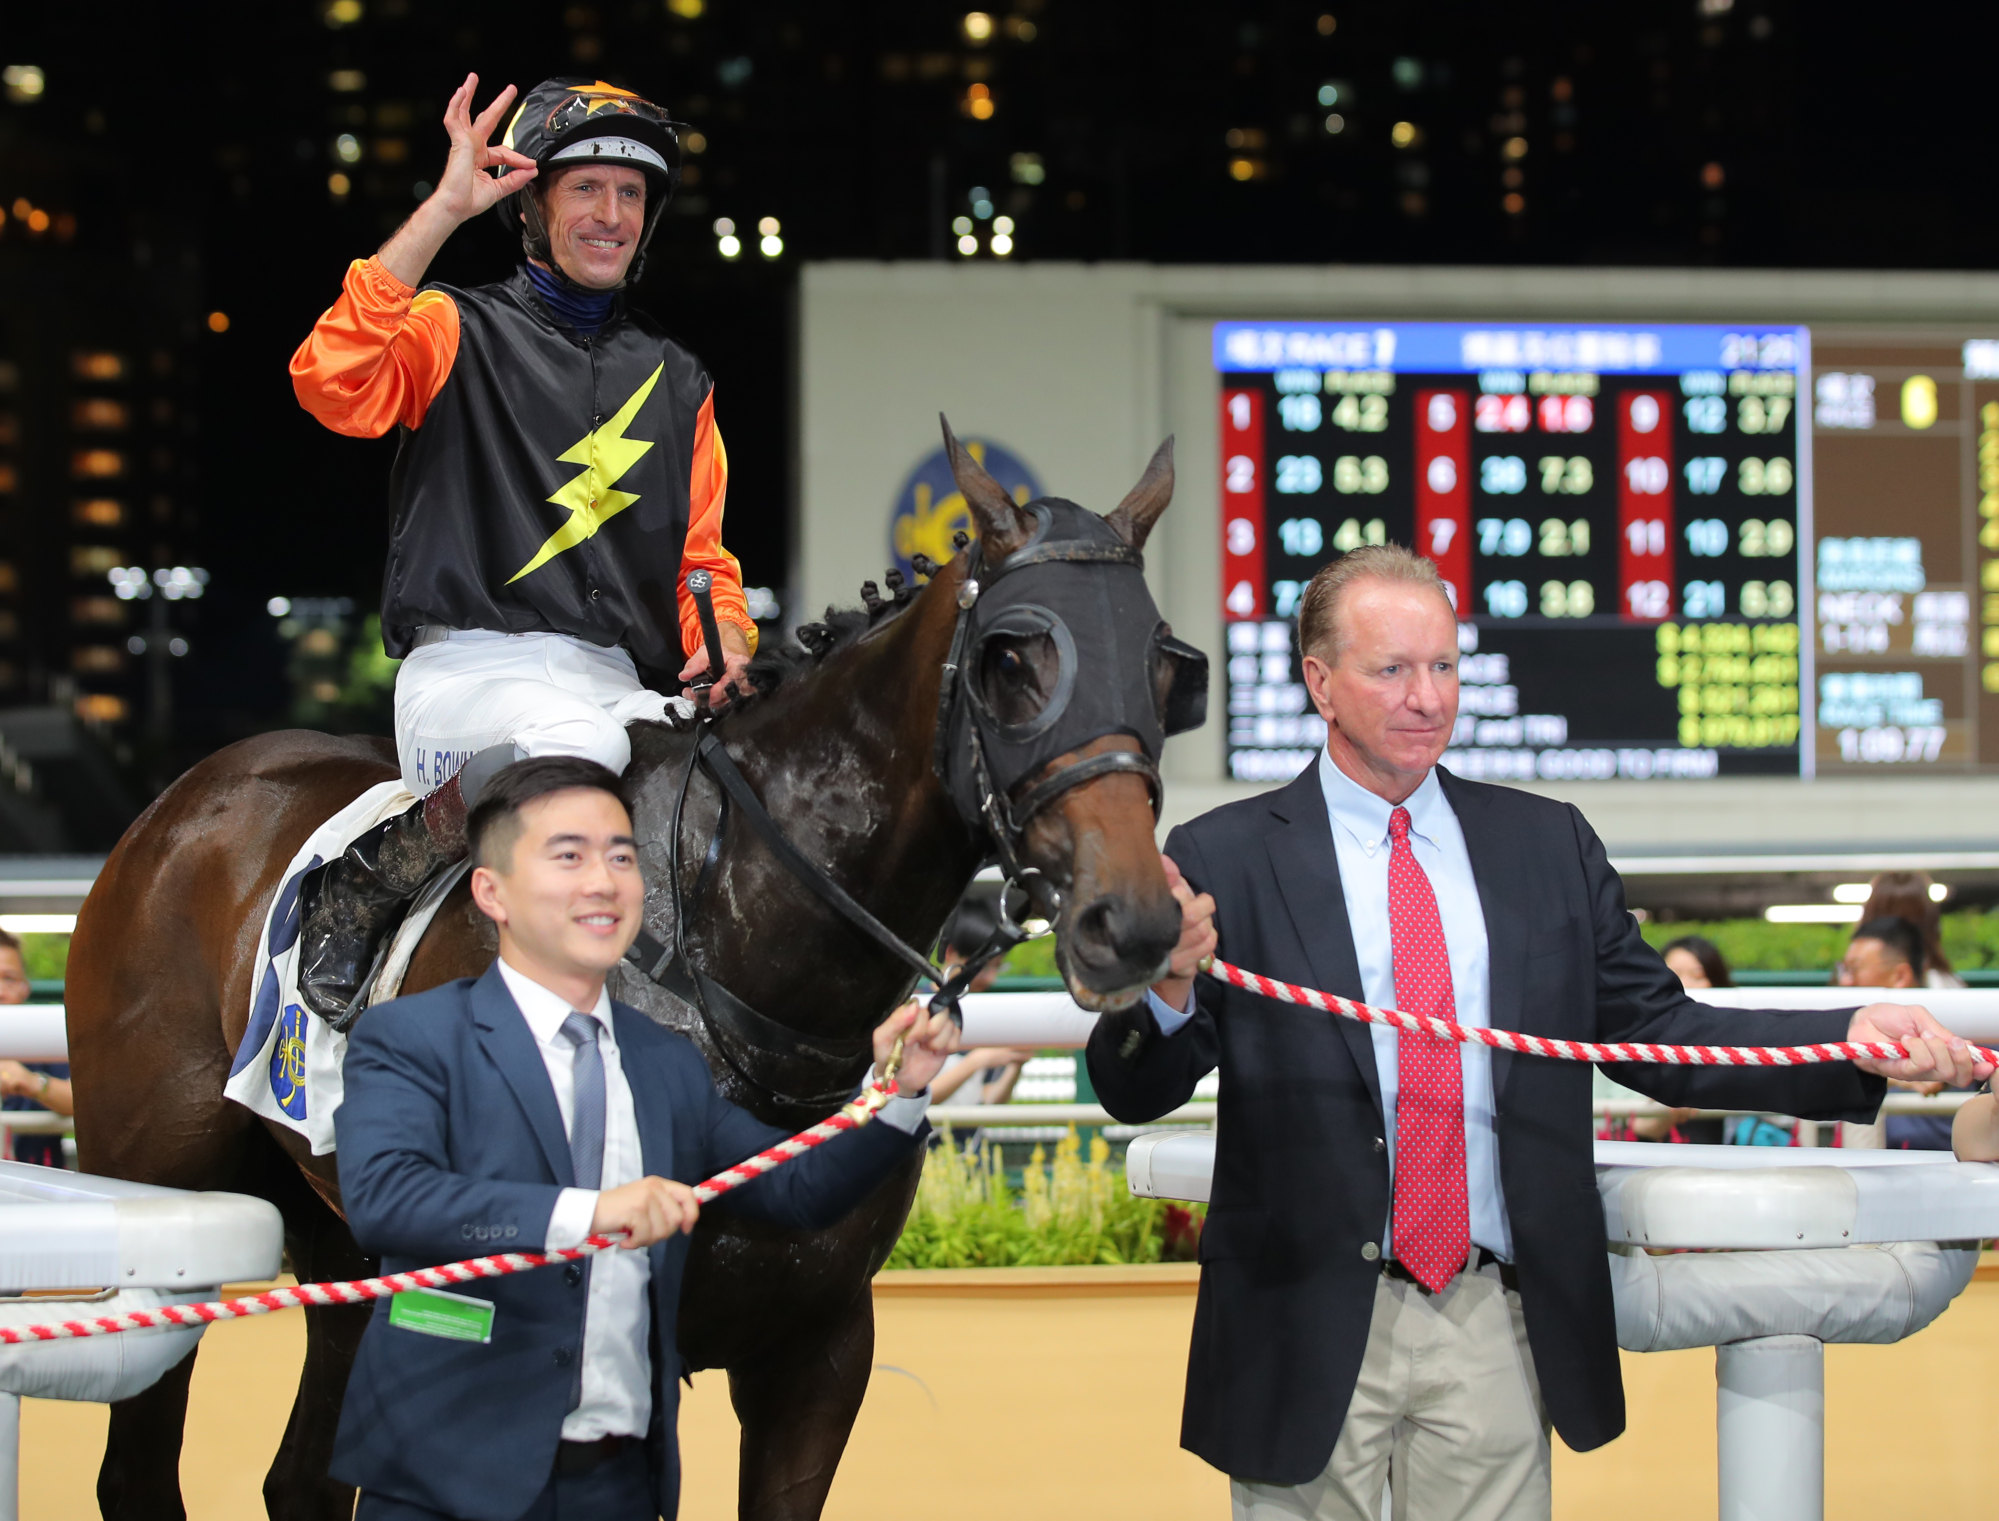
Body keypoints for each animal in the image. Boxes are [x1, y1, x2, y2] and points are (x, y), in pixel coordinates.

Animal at [66, 429, 1183, 1519]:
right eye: (1008, 656)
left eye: (1163, 663)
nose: (1132, 920)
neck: (732, 954)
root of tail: (180, 804)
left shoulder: (819, 1347)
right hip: (165, 1188)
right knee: (136, 1472)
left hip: (339, 1233)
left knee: (302, 1476)